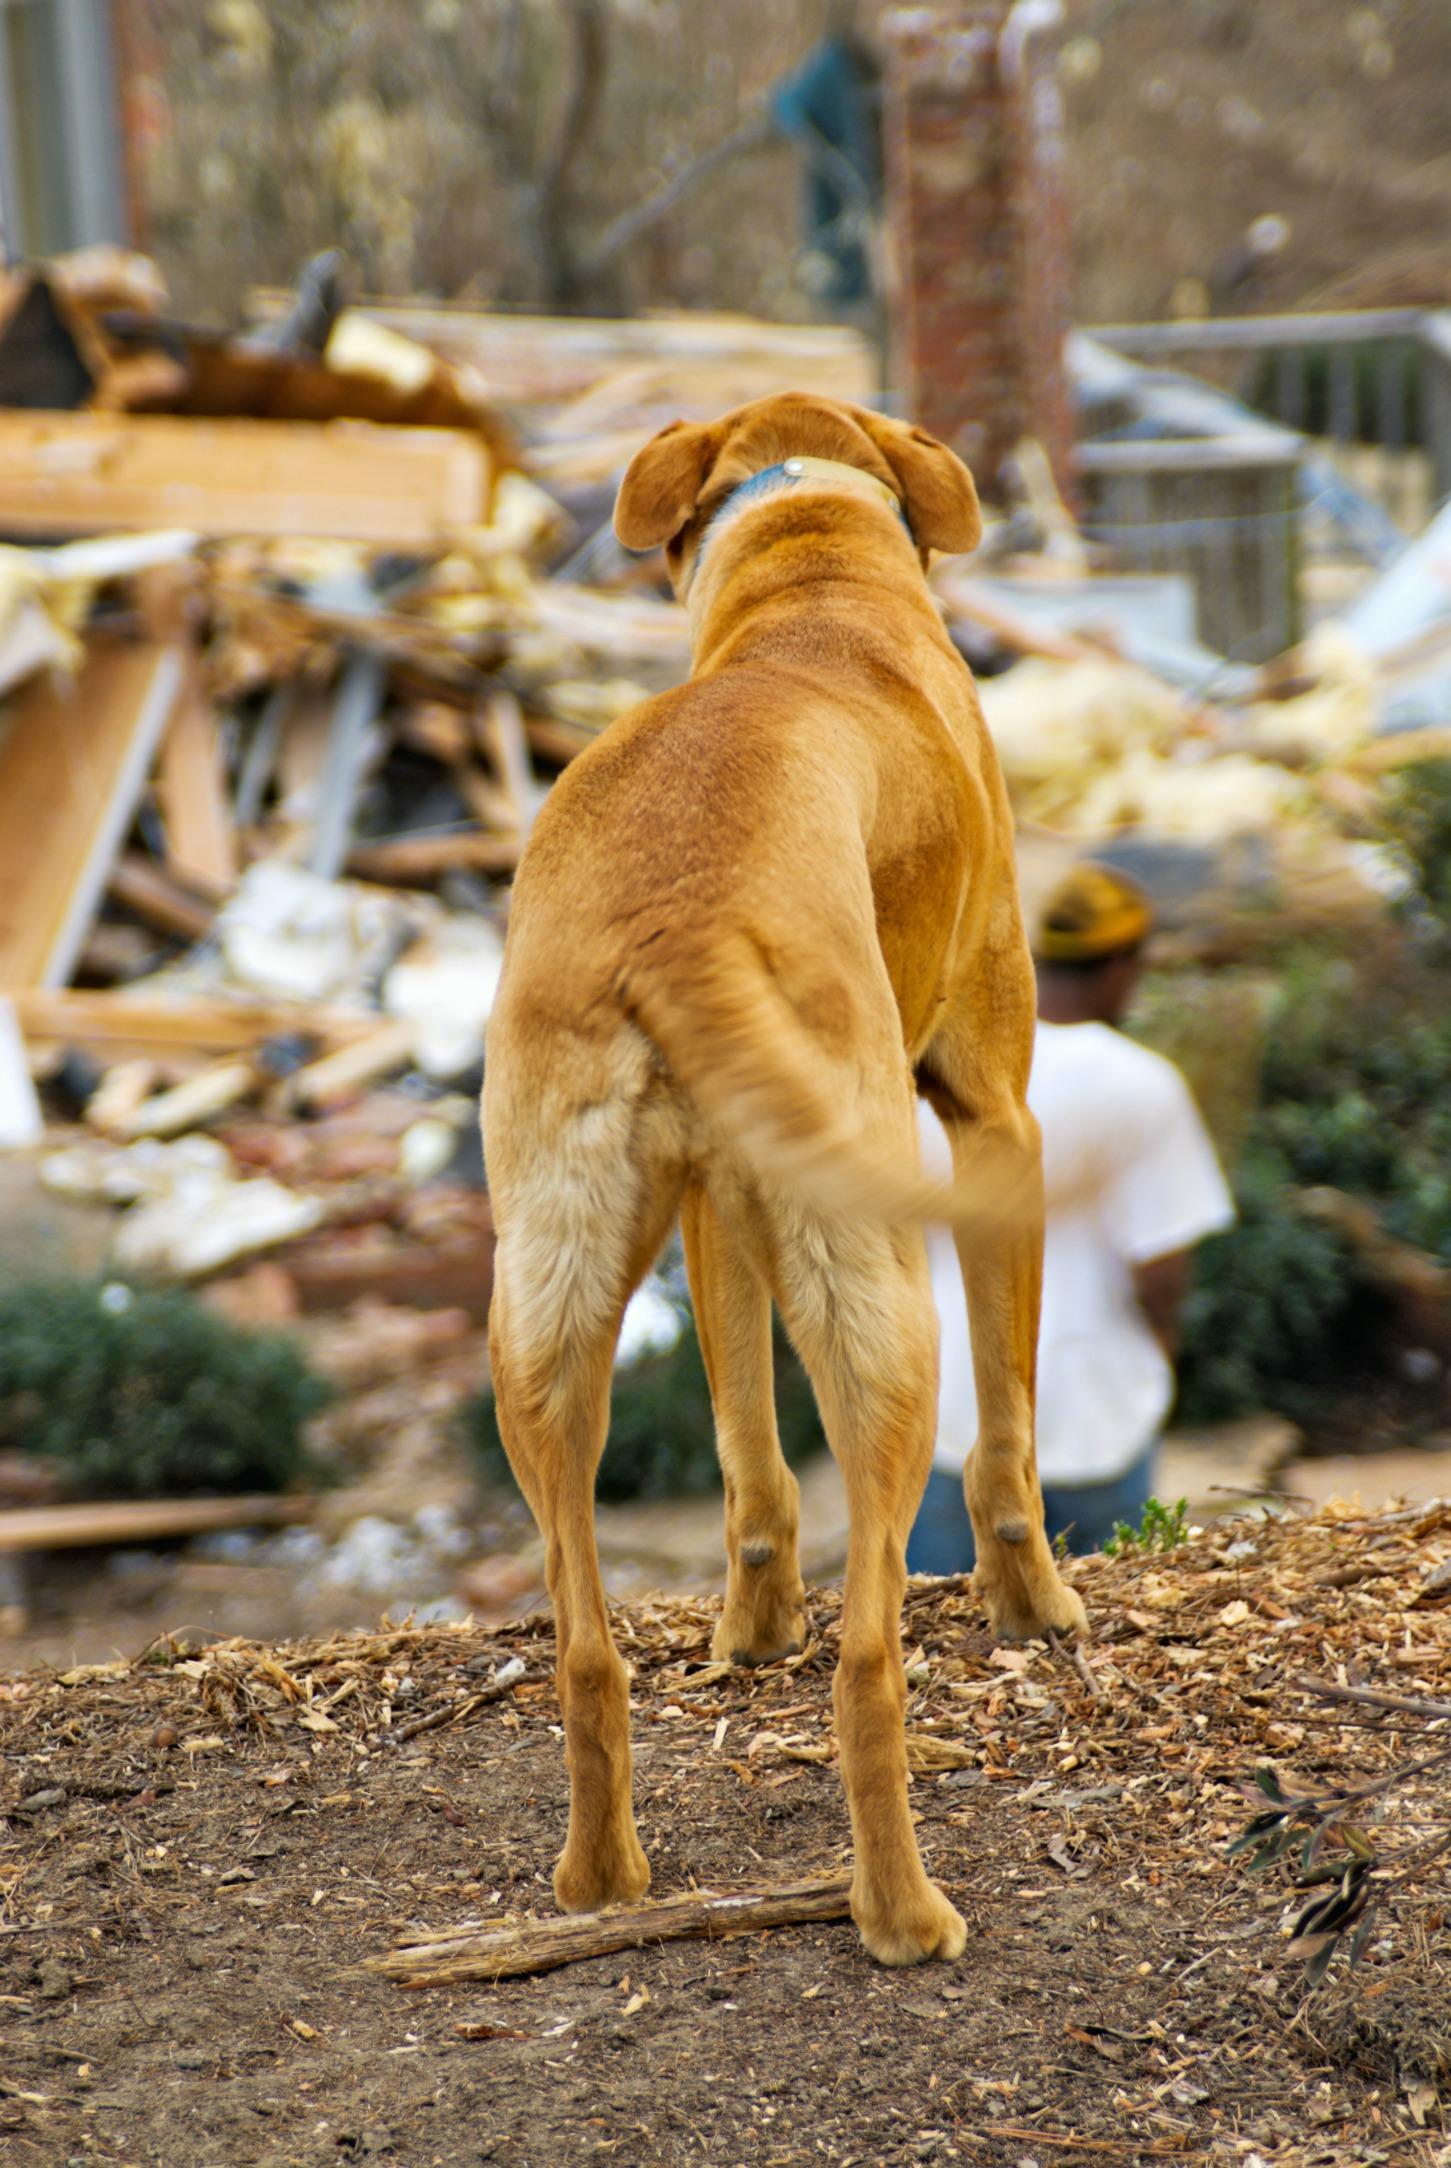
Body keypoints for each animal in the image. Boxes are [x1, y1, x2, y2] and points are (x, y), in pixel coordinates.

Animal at [481, 390, 1080, 1968]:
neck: (810, 572)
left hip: (544, 1307)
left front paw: (749, 1634)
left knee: (582, 1644)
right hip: (878, 1294)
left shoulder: (715, 1209)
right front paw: (1036, 1604)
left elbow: (747, 1456)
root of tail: (672, 916)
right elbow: (1007, 1444)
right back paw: (903, 1912)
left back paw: (599, 1880)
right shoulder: (996, 1120)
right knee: (871, 1653)